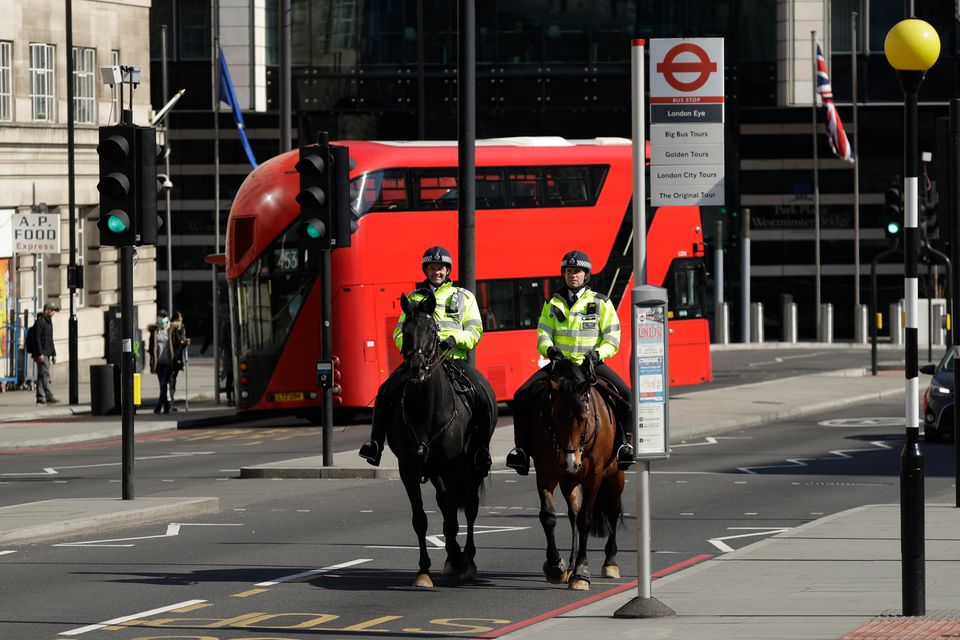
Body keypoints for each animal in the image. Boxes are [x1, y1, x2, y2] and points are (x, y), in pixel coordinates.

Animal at [386, 292, 498, 588]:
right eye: (406, 330)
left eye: (433, 330)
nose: (416, 369)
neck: (426, 412)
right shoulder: (409, 469)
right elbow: (421, 519)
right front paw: (424, 570)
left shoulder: (454, 466)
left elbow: (453, 517)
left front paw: (460, 559)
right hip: (436, 471)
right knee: (445, 502)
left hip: (472, 465)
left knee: (468, 507)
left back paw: (467, 558)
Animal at [528, 358, 628, 588]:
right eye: (553, 416)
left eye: (584, 417)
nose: (571, 463)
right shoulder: (545, 474)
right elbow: (548, 516)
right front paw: (555, 565)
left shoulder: (594, 476)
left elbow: (586, 521)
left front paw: (581, 574)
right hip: (569, 482)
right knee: (574, 512)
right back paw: (571, 564)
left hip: (614, 476)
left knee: (612, 511)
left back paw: (610, 562)